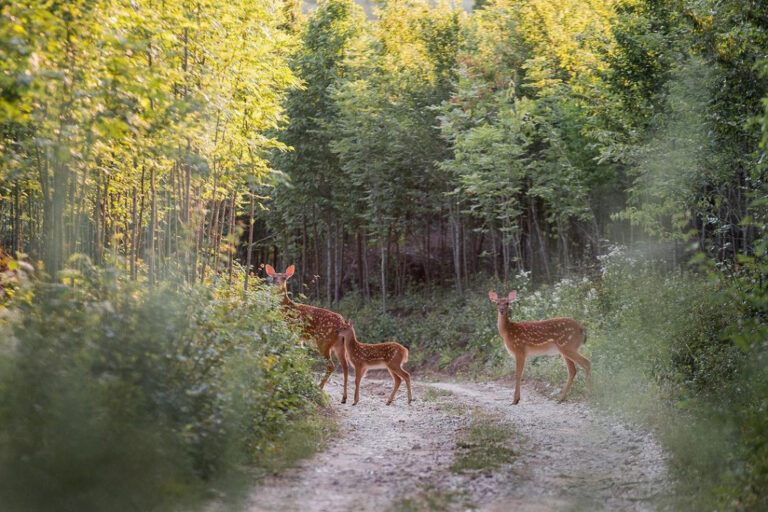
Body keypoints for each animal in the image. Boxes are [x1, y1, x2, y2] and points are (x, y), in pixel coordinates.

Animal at [265, 264, 349, 403]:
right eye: (274, 277)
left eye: (284, 278)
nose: (278, 284)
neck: (287, 308)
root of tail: (342, 323)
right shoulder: (299, 338)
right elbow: (299, 356)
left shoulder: (291, 330)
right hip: (339, 345)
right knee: (345, 366)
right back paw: (345, 398)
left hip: (324, 341)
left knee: (331, 365)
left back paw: (319, 388)